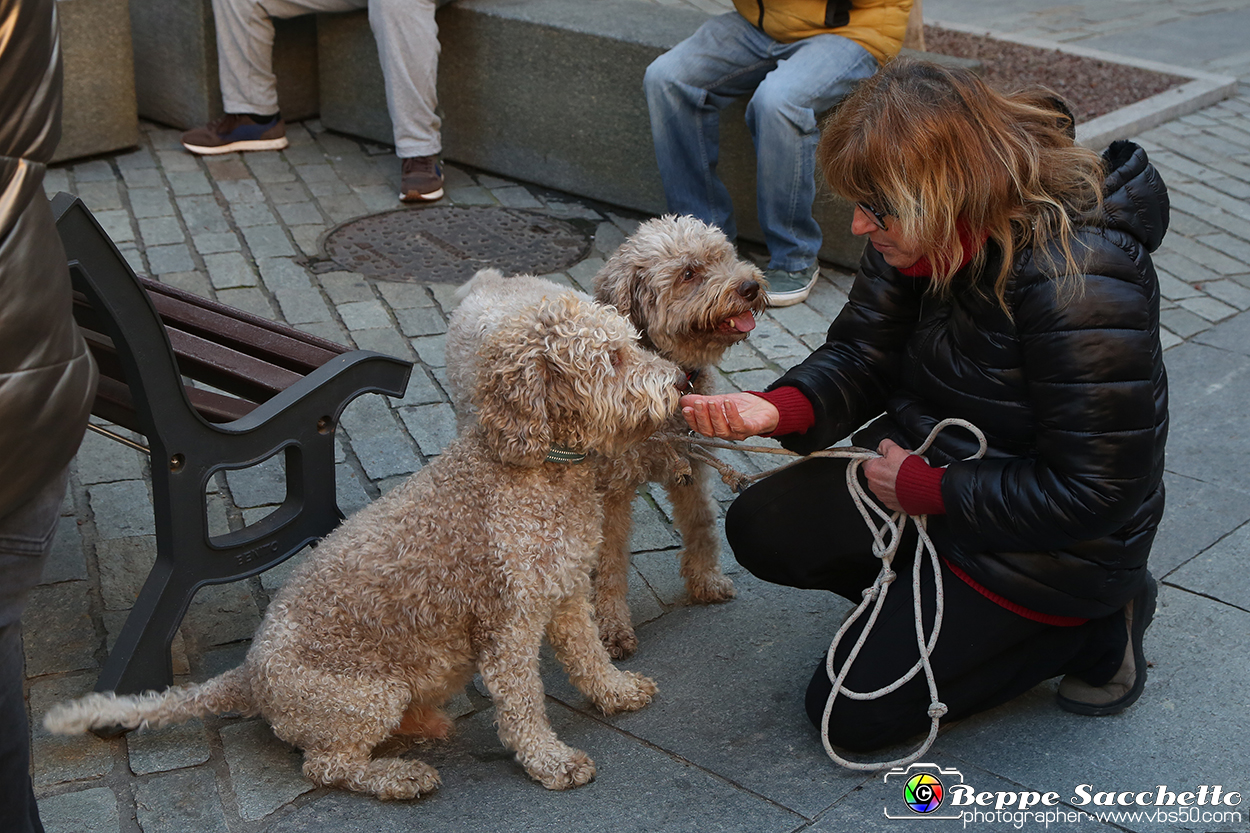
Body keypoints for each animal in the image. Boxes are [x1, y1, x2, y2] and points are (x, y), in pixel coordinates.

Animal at [46, 291, 685, 800]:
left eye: (631, 343)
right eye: (612, 358)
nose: (679, 382)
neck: (539, 468)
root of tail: (249, 676)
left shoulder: (568, 591)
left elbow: (589, 655)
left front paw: (618, 691)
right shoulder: (509, 624)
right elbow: (524, 702)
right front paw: (550, 763)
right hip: (369, 695)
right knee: (328, 767)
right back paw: (399, 776)